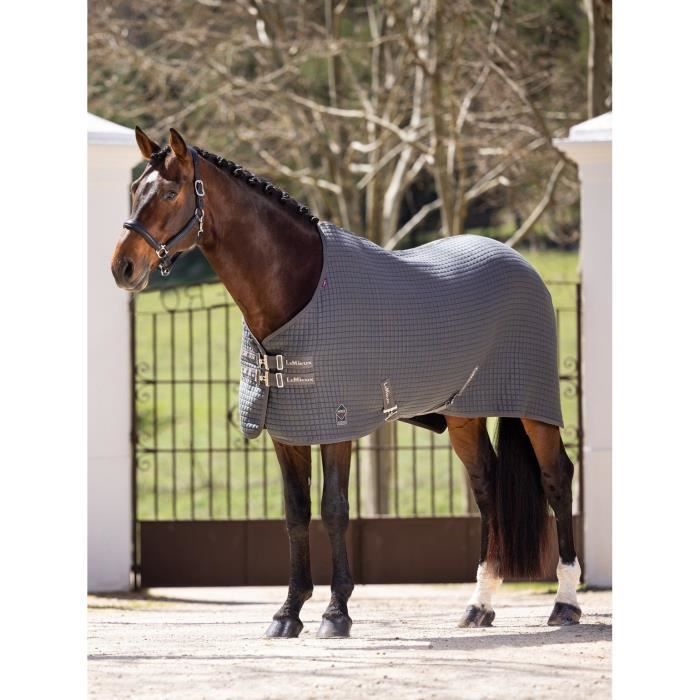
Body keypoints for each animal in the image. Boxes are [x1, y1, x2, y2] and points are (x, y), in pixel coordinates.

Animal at [111, 127, 582, 638]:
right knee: (487, 487)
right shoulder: (287, 432)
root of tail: (520, 261)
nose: (123, 268)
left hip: (532, 406)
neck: (298, 289)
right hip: (464, 415)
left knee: (557, 478)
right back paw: (479, 605)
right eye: (134, 190)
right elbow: (296, 513)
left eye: (170, 193)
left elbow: (334, 510)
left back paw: (566, 603)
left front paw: (336, 613)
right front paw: (288, 613)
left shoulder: (338, 426)